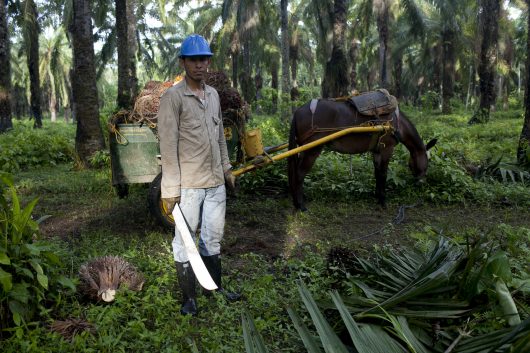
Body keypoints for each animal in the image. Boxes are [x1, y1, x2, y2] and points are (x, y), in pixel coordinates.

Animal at [286, 97, 436, 210]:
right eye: (428, 160)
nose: (422, 182)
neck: (397, 122)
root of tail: (298, 111)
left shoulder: (377, 151)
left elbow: (377, 173)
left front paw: (377, 196)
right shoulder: (387, 149)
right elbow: (383, 174)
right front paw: (383, 201)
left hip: (304, 149)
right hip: (312, 149)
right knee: (299, 173)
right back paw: (300, 205)